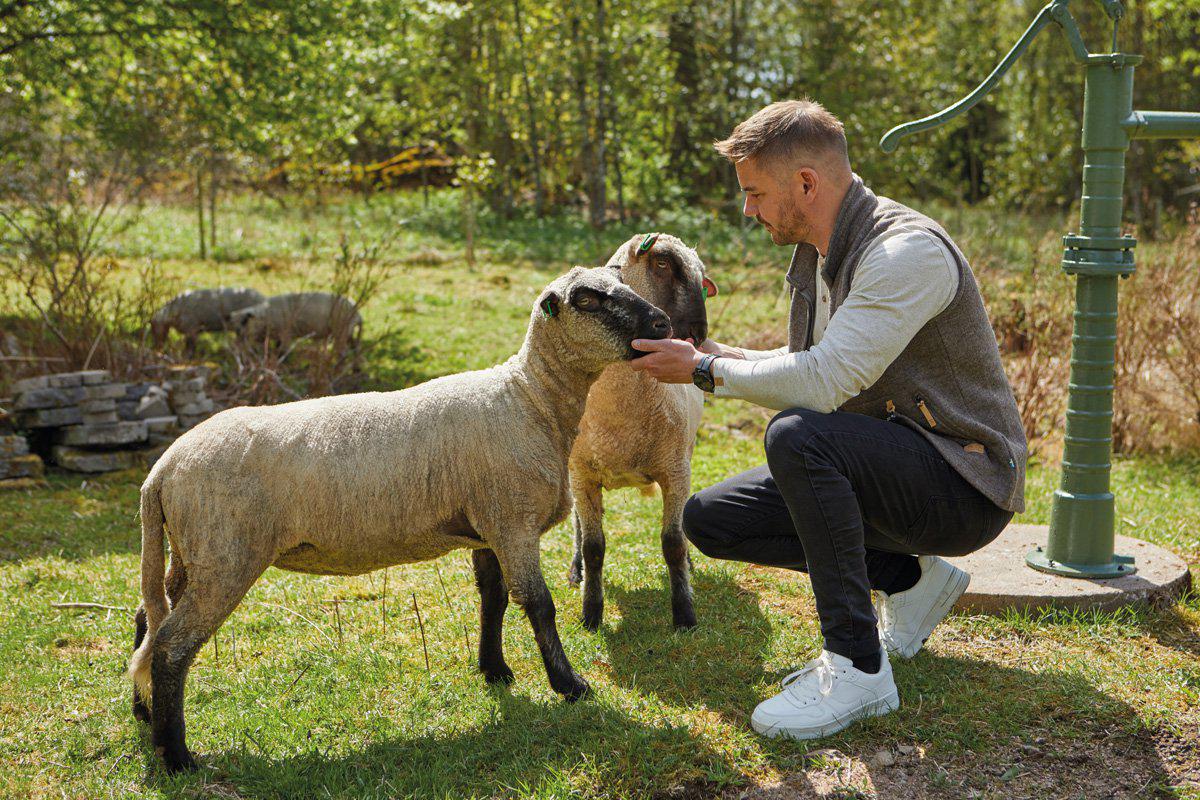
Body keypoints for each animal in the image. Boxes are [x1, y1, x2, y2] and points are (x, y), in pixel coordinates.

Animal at [228, 291, 360, 347]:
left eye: (245, 321)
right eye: (234, 327)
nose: (236, 342)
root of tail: (357, 313)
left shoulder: (286, 334)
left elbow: (282, 351)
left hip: (342, 331)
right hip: (348, 333)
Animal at [566, 231, 715, 633]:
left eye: (702, 278)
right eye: (662, 264)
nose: (698, 335)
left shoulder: (676, 471)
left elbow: (673, 542)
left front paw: (684, 614)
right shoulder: (581, 475)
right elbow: (594, 546)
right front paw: (591, 614)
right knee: (577, 524)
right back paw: (575, 571)